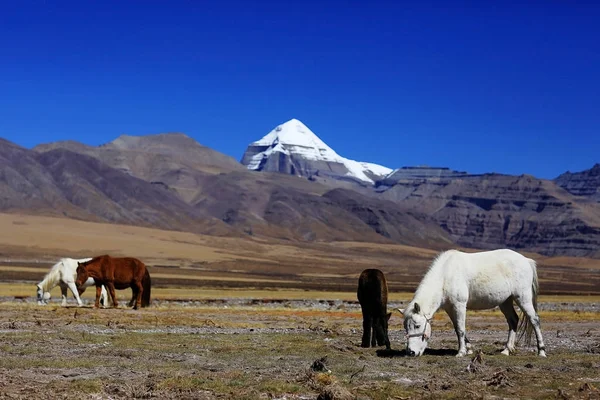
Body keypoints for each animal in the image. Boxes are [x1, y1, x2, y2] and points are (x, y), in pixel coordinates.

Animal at [400, 248, 548, 358]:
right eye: (406, 327)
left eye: (417, 326)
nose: (411, 352)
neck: (446, 275)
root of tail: (526, 260)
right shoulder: (450, 308)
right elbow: (457, 328)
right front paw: (469, 349)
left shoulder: (459, 305)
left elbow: (461, 329)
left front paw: (461, 352)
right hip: (506, 301)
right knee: (513, 320)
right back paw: (506, 350)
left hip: (522, 298)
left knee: (534, 320)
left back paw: (541, 351)